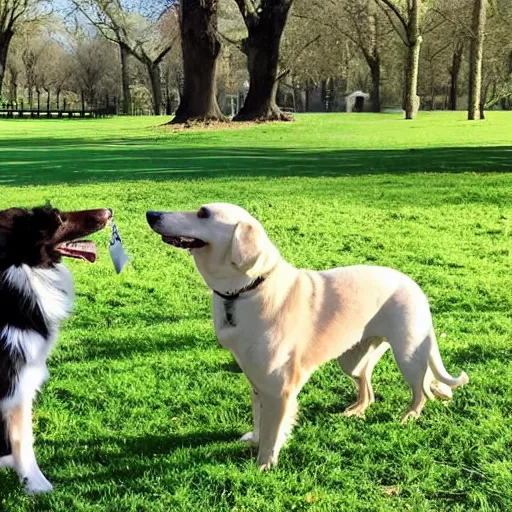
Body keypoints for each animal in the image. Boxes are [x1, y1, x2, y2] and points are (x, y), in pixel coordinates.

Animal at [145, 202, 468, 470]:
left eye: (203, 213)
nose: (151, 214)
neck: (246, 289)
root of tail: (413, 285)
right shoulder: (257, 382)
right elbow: (260, 420)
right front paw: (254, 440)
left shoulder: (279, 388)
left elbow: (273, 433)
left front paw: (263, 465)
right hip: (352, 361)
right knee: (368, 389)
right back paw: (355, 411)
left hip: (408, 356)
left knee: (422, 391)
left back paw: (408, 416)